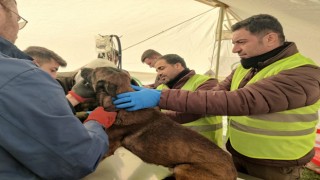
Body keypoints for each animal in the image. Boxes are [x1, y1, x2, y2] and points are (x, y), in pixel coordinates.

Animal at [84, 67, 236, 180]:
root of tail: (233, 172)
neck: (121, 105)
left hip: (182, 168)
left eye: (94, 72)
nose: (83, 69)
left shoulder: (108, 146)